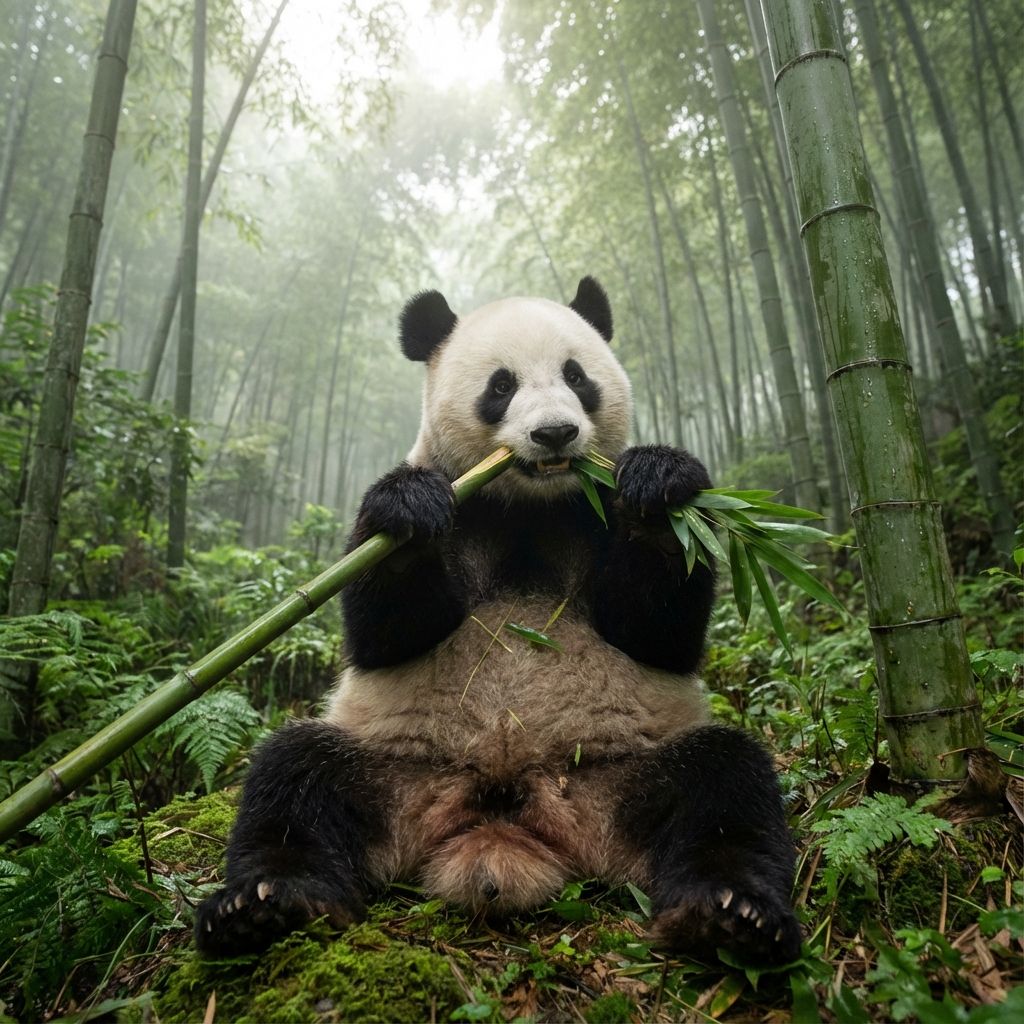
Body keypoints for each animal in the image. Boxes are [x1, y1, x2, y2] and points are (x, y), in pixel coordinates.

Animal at [195, 277, 802, 965]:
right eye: (501, 385)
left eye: (576, 375)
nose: (556, 433)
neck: (529, 504)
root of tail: (505, 813)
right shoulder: (456, 505)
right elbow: (384, 634)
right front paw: (407, 514)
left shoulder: (593, 511)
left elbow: (657, 632)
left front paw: (659, 485)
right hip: (400, 768)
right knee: (294, 778)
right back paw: (265, 905)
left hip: (615, 774)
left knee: (724, 783)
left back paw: (730, 913)